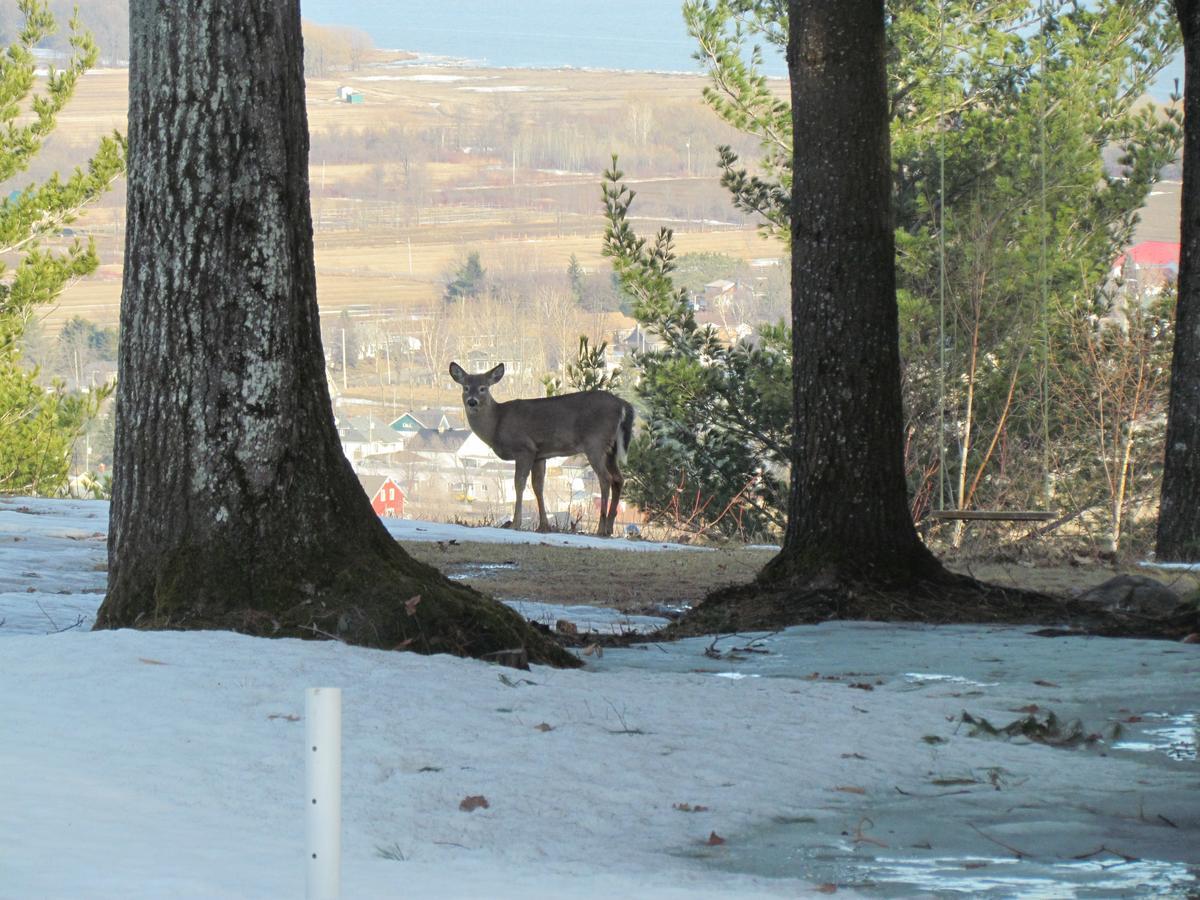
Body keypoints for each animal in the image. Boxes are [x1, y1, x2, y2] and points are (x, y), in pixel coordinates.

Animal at [451, 362, 638, 540]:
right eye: (465, 387)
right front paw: (544, 525)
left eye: (483, 388)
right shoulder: (539, 455)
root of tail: (622, 404)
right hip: (611, 448)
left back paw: (601, 528)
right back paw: (609, 527)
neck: (497, 424)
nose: (472, 401)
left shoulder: (524, 448)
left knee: (605, 478)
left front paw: (516, 524)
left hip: (595, 442)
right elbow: (538, 486)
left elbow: (519, 484)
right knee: (618, 479)